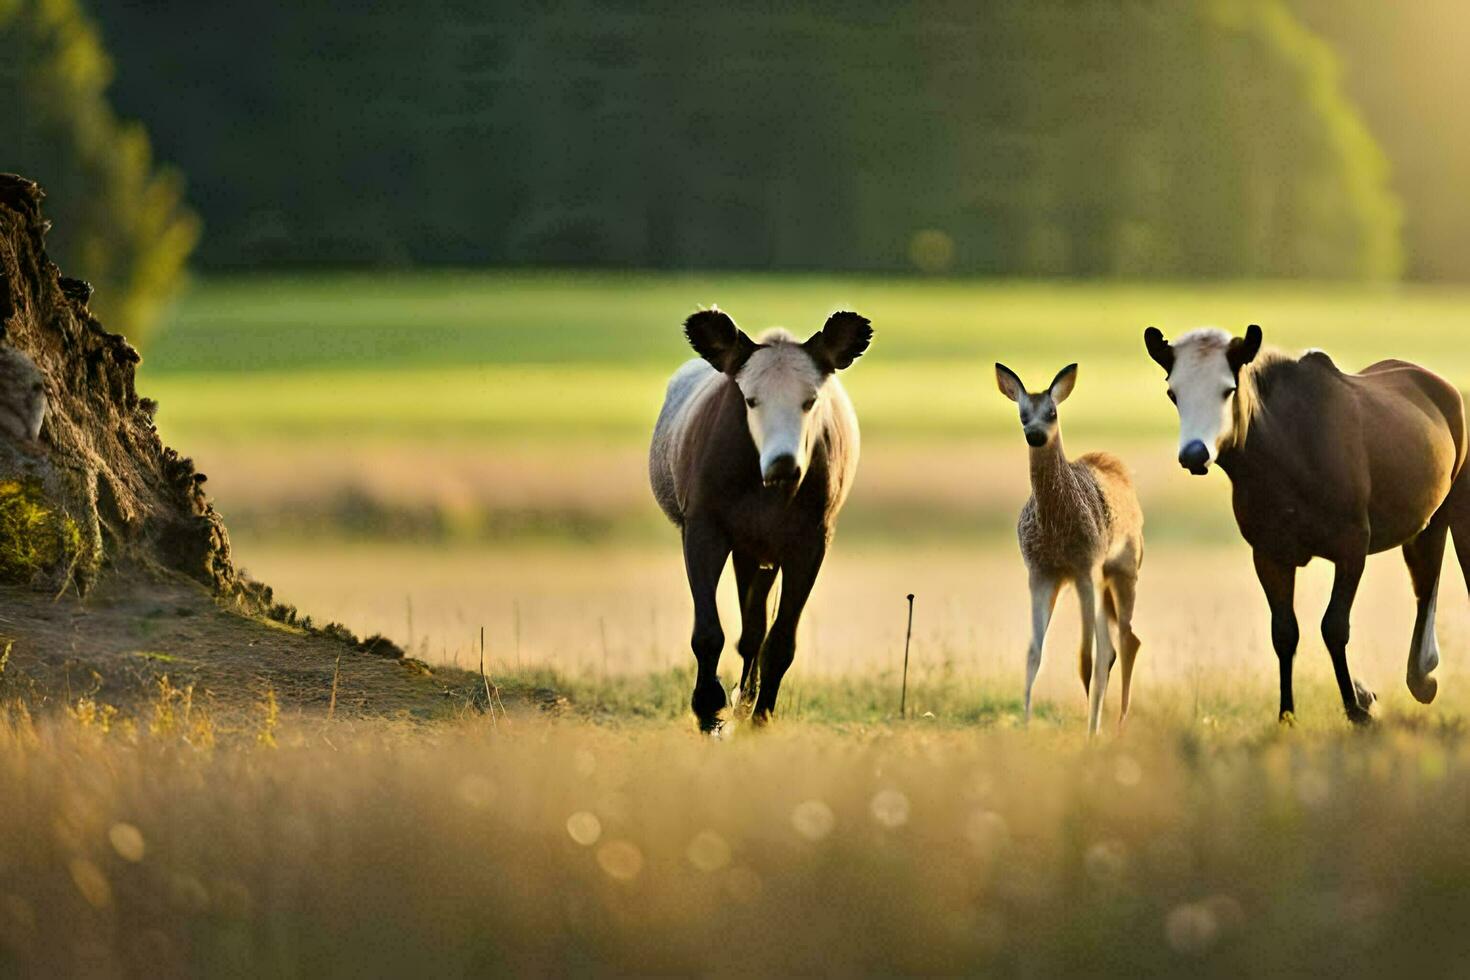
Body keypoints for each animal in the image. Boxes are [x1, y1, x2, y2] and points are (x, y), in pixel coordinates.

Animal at [646, 310, 870, 731]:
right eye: (750, 400)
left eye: (810, 400)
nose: (783, 462)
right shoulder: (704, 528)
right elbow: (708, 632)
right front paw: (708, 706)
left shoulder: (810, 542)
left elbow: (779, 640)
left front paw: (760, 715)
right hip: (746, 549)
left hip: (760, 552)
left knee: (755, 629)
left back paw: (747, 699)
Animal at [1146, 326, 1470, 725]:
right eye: (1173, 393)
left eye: (1228, 389)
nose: (1194, 453)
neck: (1287, 454)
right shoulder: (1269, 554)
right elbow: (1284, 632)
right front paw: (1288, 713)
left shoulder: (1352, 546)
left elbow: (1334, 626)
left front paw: (1356, 709)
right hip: (1426, 523)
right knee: (1425, 584)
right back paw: (1419, 678)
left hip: (1458, 511)